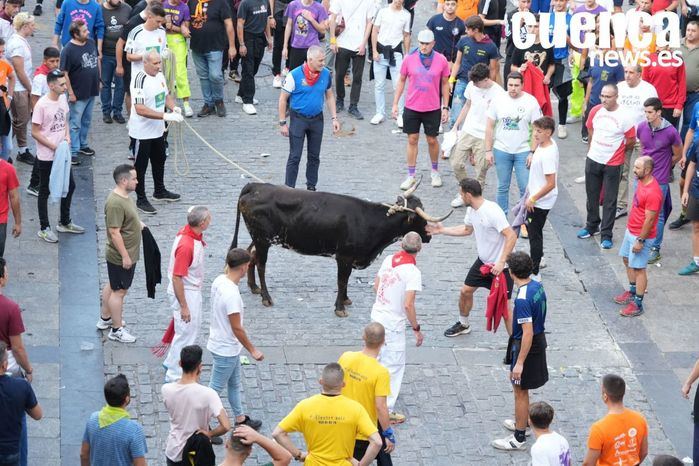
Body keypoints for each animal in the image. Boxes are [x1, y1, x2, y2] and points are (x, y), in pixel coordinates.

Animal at [231, 182, 454, 316]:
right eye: (419, 218)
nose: (429, 236)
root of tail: (256, 186)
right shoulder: (344, 257)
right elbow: (342, 280)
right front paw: (339, 307)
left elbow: (345, 281)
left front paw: (345, 300)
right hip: (262, 239)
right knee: (261, 264)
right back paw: (266, 297)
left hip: (259, 239)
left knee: (250, 255)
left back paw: (254, 287)